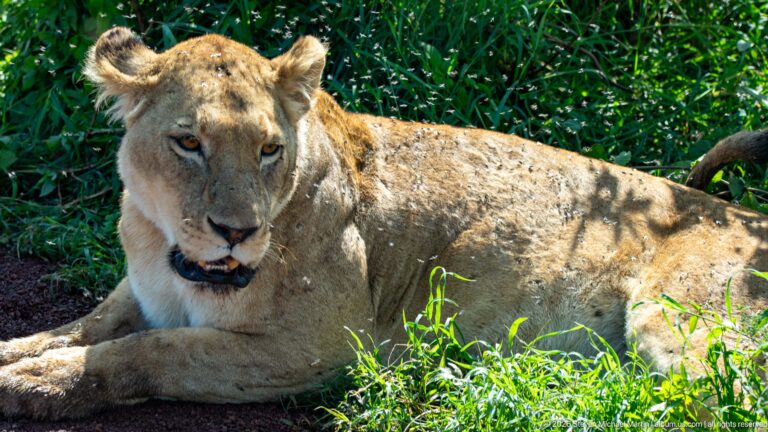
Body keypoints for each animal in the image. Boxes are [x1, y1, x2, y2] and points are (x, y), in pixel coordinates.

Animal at [0, 27, 766, 419]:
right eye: (189, 142)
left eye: (269, 149)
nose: (237, 232)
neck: (165, 250)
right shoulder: (141, 294)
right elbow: (81, 328)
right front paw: (25, 355)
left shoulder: (319, 347)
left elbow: (151, 353)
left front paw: (36, 385)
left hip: (683, 321)